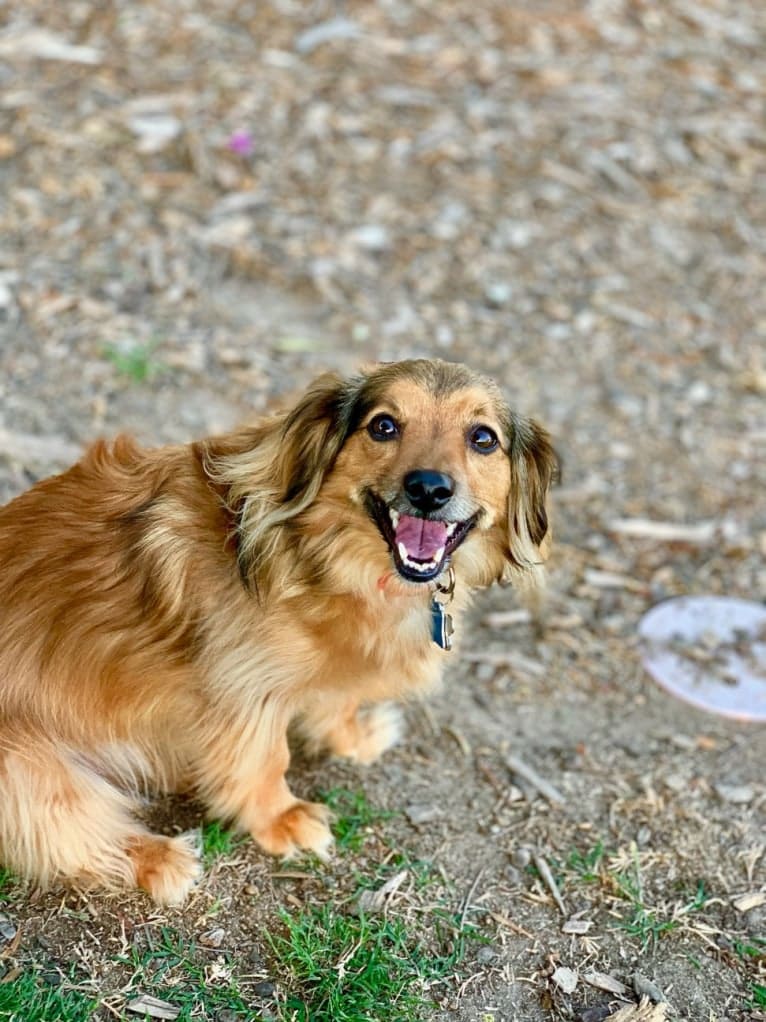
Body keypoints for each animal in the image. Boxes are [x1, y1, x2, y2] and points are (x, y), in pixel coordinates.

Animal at [0, 357, 555, 903]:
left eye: (482, 438)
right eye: (384, 425)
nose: (429, 489)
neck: (326, 555)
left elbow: (341, 700)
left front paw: (355, 737)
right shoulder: (246, 694)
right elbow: (265, 761)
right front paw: (283, 819)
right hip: (27, 768)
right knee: (72, 833)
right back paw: (157, 858)